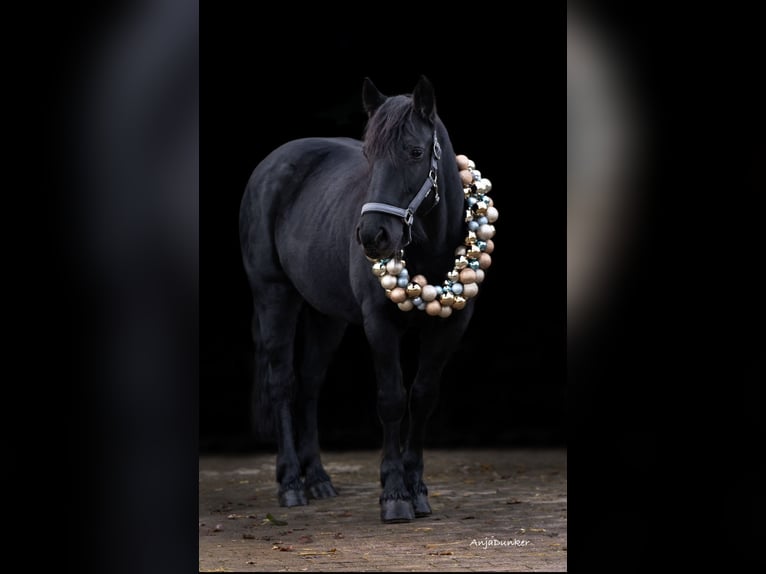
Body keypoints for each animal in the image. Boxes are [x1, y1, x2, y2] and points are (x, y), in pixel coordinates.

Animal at [239, 76, 495, 523]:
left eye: (414, 151)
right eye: (368, 155)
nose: (373, 236)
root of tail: (271, 164)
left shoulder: (451, 326)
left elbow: (422, 398)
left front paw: (418, 491)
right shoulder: (379, 323)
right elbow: (391, 400)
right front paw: (394, 495)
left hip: (326, 316)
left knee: (309, 383)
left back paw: (318, 479)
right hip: (274, 295)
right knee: (281, 382)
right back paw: (291, 485)